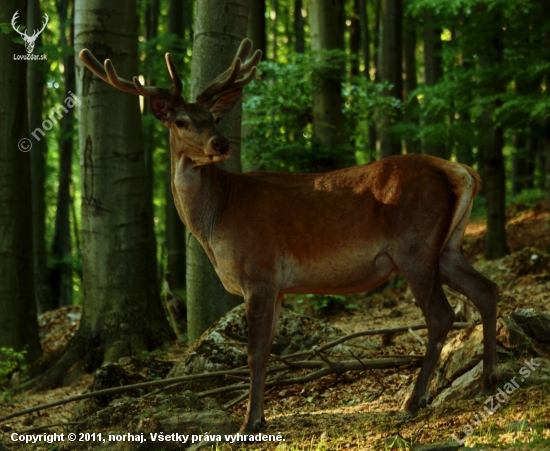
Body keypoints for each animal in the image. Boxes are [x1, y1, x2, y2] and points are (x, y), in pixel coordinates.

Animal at [81, 39, 500, 438]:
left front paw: (248, 423)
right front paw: (262, 418)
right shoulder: (279, 286)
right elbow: (266, 350)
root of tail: (462, 171)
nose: (220, 143)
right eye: (181, 120)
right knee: (487, 289)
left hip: (414, 246)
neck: (217, 220)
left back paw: (413, 402)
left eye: (213, 117)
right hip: (446, 248)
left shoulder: (259, 272)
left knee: (441, 315)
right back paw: (488, 381)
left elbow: (254, 353)